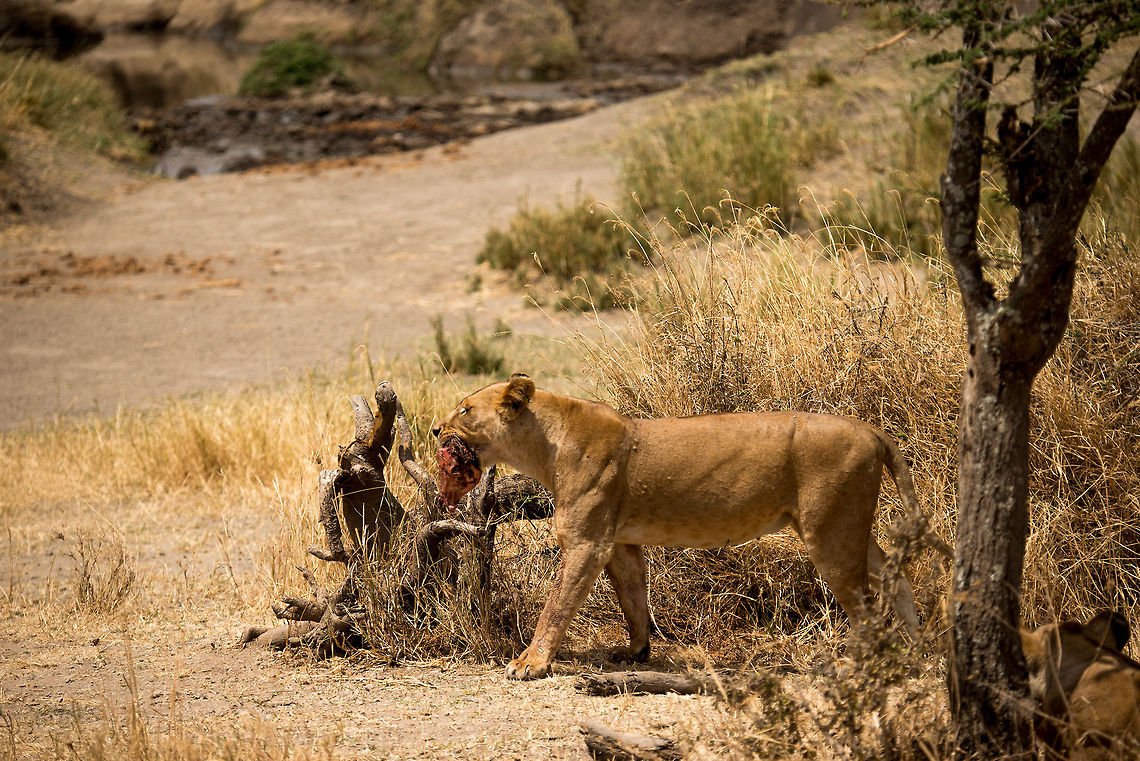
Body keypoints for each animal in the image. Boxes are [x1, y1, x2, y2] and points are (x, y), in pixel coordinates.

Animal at [434, 373, 949, 680]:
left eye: (465, 410)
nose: (436, 430)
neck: (545, 442)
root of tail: (871, 431)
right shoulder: (619, 542)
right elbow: (633, 598)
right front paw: (636, 652)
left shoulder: (586, 542)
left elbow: (557, 605)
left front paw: (531, 663)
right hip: (850, 525)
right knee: (895, 577)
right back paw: (917, 651)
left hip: (830, 529)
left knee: (865, 604)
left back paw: (855, 664)